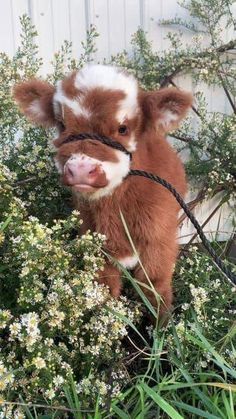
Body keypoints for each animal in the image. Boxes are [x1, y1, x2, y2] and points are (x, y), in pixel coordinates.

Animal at [13, 65, 193, 316]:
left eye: (123, 128)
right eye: (62, 125)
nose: (80, 169)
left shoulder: (159, 243)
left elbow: (155, 290)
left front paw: (160, 325)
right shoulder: (97, 246)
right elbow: (105, 293)